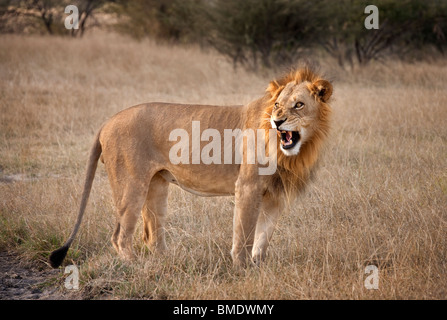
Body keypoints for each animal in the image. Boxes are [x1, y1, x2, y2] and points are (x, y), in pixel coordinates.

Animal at [50, 67, 332, 268]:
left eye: (299, 104)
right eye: (277, 105)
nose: (277, 121)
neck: (292, 152)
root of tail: (107, 121)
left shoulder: (275, 196)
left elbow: (263, 237)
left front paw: (259, 268)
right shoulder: (248, 187)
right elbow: (244, 233)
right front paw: (242, 269)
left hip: (157, 186)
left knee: (151, 235)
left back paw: (165, 263)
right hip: (132, 185)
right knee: (120, 235)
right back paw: (135, 267)